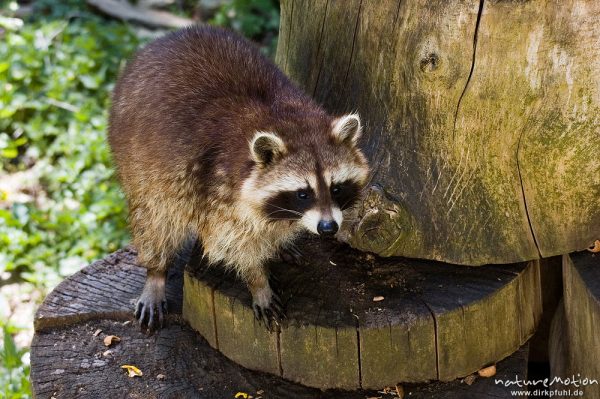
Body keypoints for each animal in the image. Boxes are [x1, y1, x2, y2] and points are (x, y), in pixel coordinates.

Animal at [109, 25, 370, 332]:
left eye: (336, 188)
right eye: (303, 193)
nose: (328, 228)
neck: (290, 124)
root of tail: (159, 41)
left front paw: (277, 243)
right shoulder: (217, 189)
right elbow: (232, 245)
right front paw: (258, 281)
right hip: (138, 159)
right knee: (156, 219)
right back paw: (156, 272)